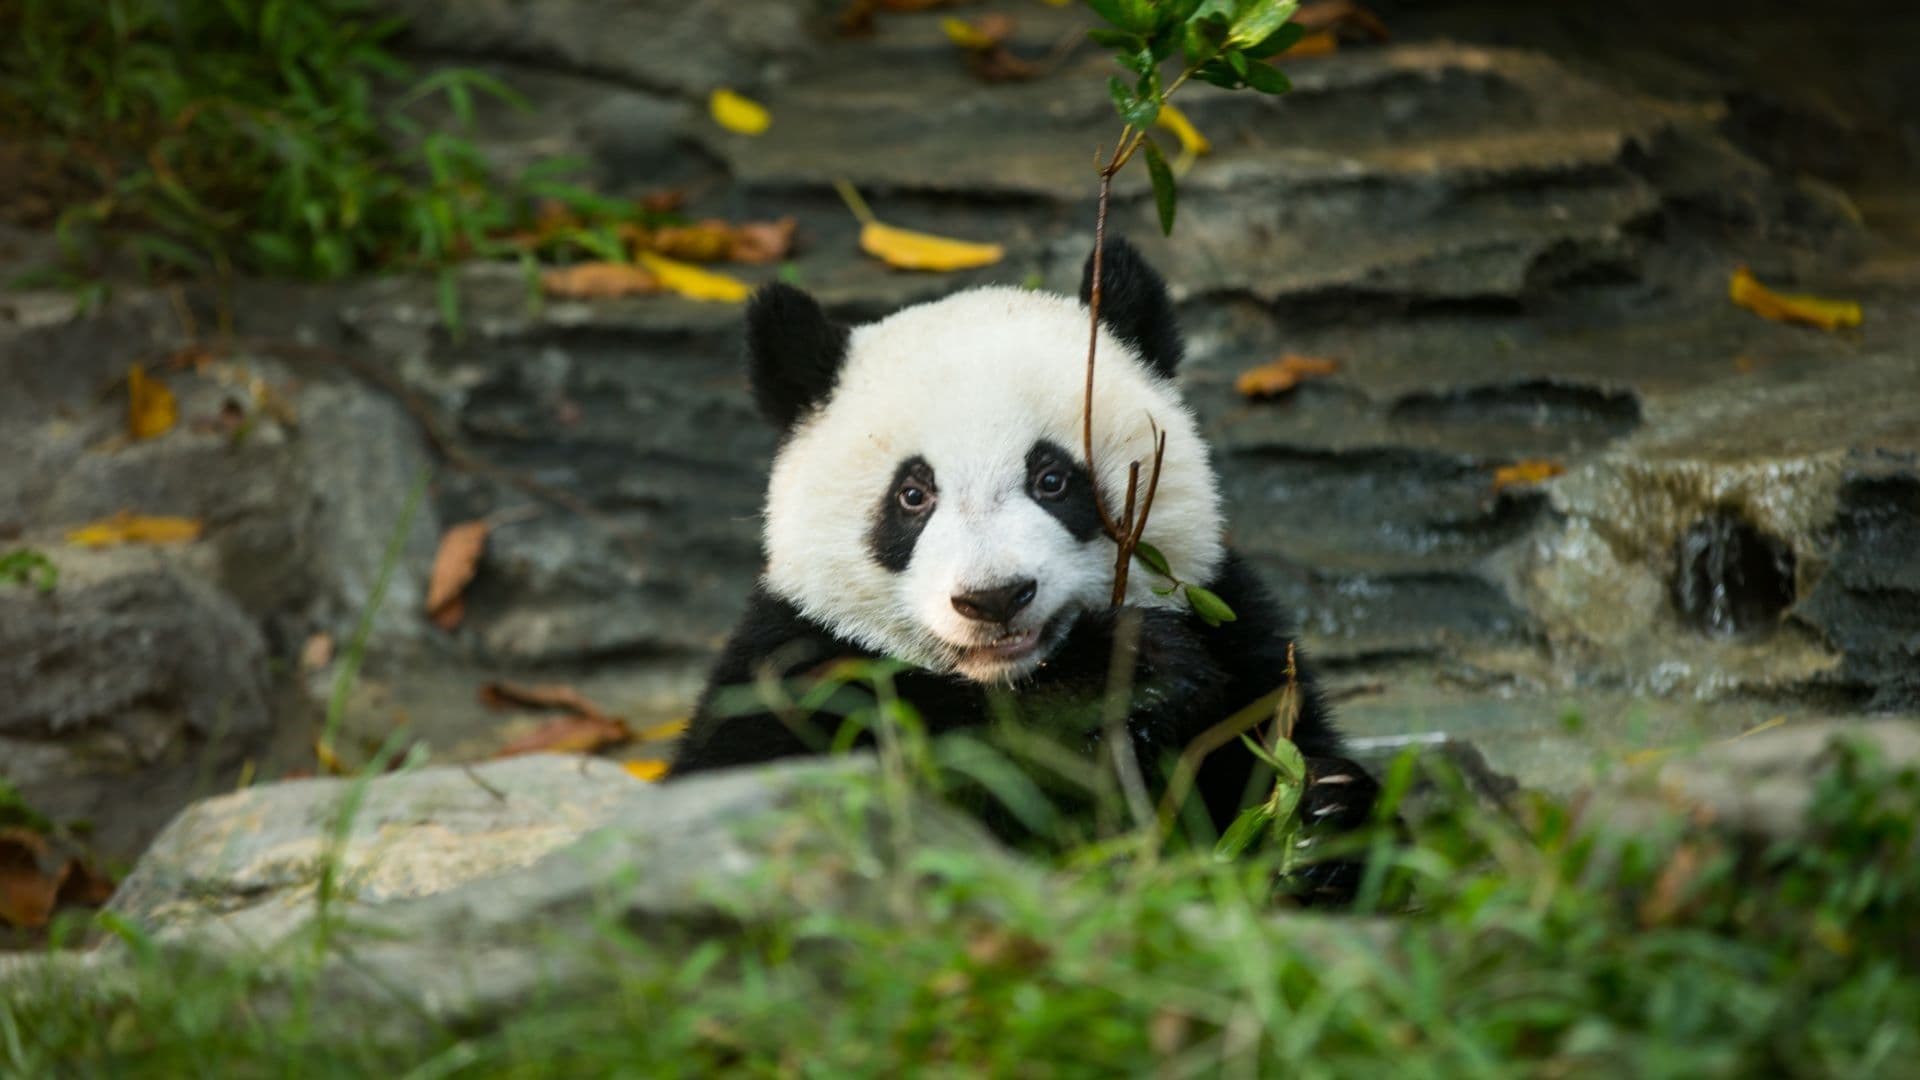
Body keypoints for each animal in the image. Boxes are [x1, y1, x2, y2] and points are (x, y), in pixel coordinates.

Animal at [672, 238, 1380, 899]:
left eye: (1052, 479)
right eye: (912, 494)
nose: (994, 598)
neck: (1001, 678)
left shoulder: (1235, 636)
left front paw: (1319, 816)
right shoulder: (794, 665)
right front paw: (1111, 677)